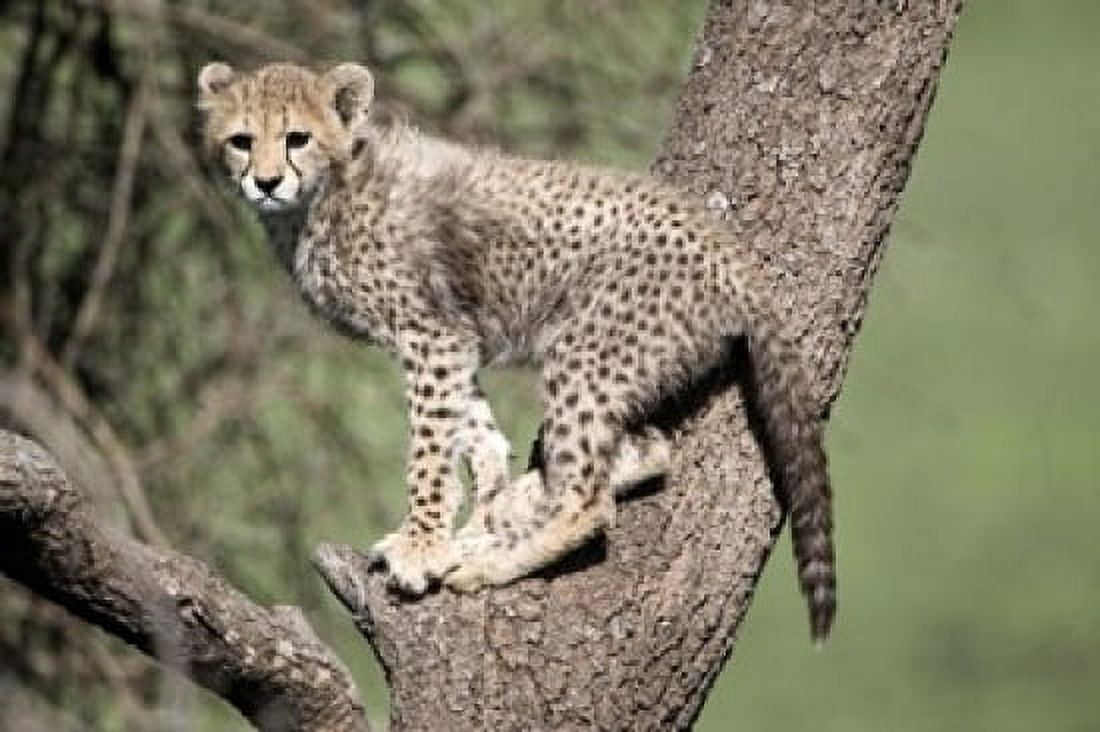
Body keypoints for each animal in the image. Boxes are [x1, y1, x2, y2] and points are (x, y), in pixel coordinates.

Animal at [196, 61, 837, 640]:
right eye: (241, 141)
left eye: (297, 138)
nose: (266, 182)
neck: (323, 198)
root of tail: (732, 254)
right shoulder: (453, 339)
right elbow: (477, 431)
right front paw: (477, 508)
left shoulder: (431, 335)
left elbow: (430, 448)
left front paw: (424, 544)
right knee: (648, 448)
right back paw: (513, 508)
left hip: (585, 352)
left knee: (589, 498)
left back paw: (490, 559)